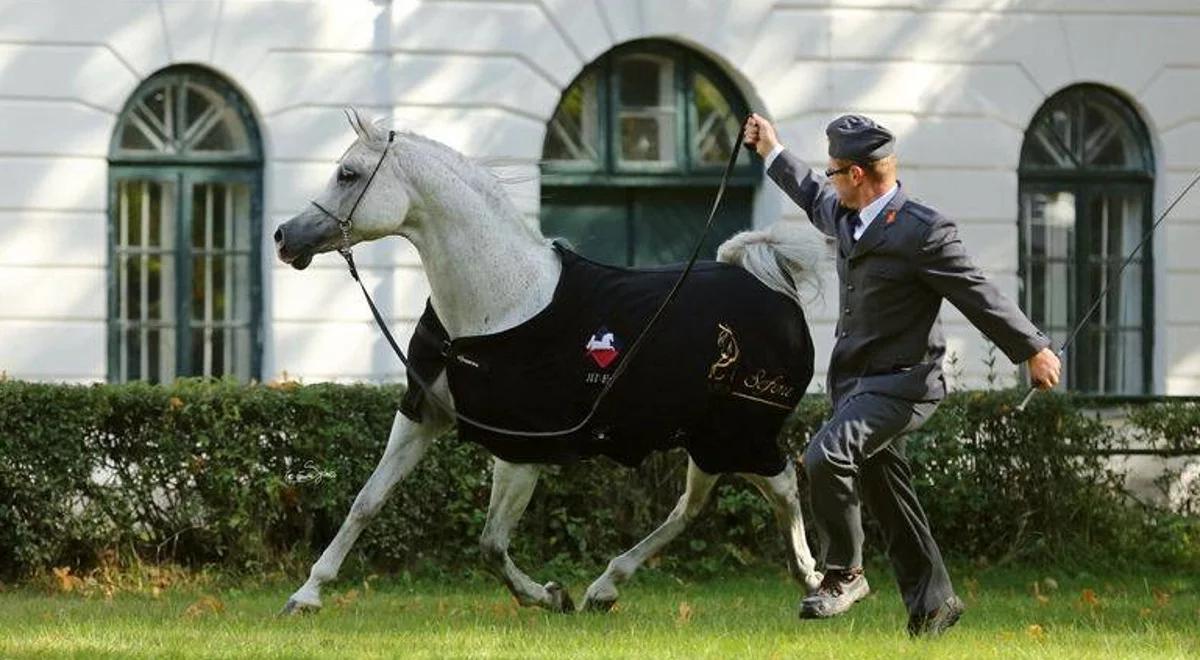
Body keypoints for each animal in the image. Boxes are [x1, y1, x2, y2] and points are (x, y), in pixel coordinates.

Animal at [274, 109, 825, 614]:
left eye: (348, 174)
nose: (284, 237)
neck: (498, 304)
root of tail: (772, 288)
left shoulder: (520, 450)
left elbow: (491, 544)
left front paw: (549, 595)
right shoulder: (422, 416)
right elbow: (366, 502)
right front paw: (305, 596)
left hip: (741, 433)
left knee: (783, 485)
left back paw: (813, 579)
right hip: (707, 437)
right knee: (690, 506)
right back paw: (605, 588)